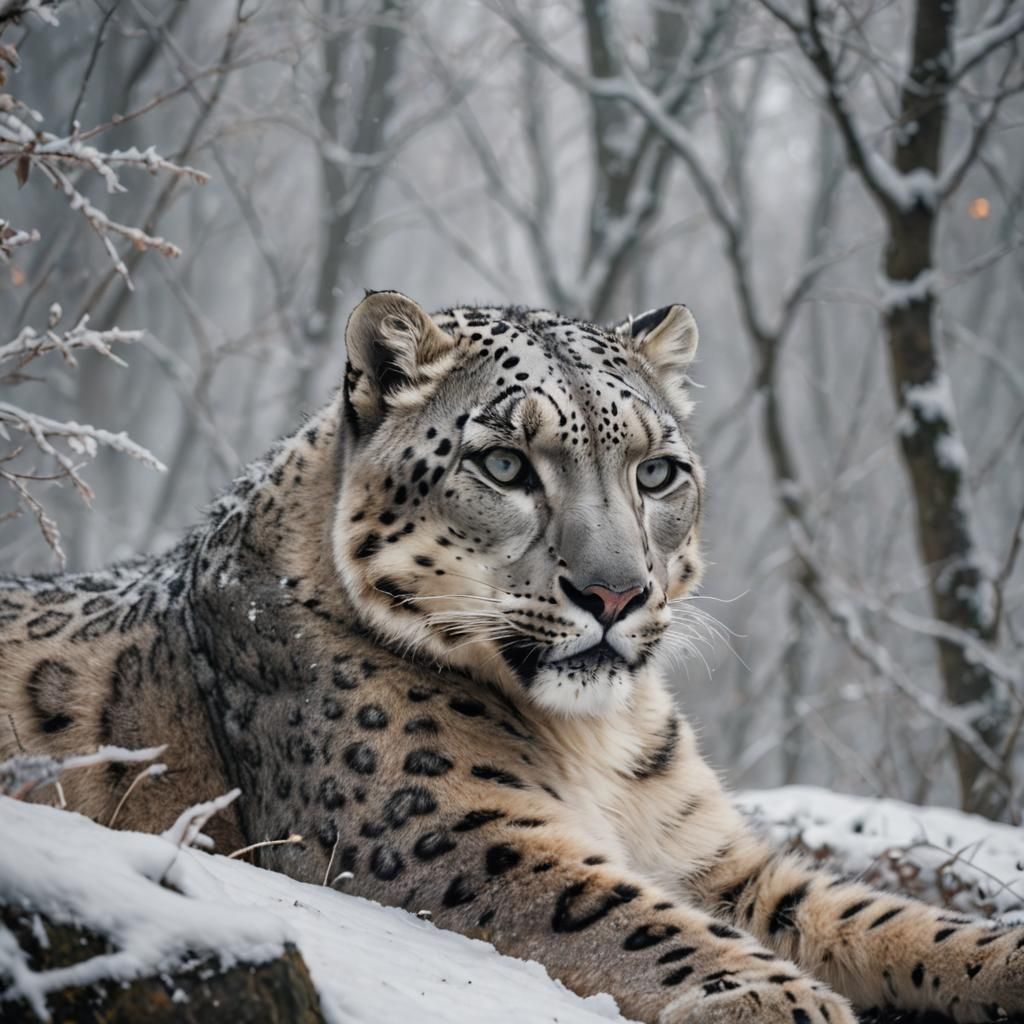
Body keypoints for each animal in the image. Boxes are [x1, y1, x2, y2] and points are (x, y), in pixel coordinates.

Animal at [1, 291, 1021, 1024]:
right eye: (503, 465)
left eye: (658, 472)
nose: (615, 594)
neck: (600, 742)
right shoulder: (447, 829)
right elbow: (623, 917)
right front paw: (782, 1001)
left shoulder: (715, 858)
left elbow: (871, 915)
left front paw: (997, 958)